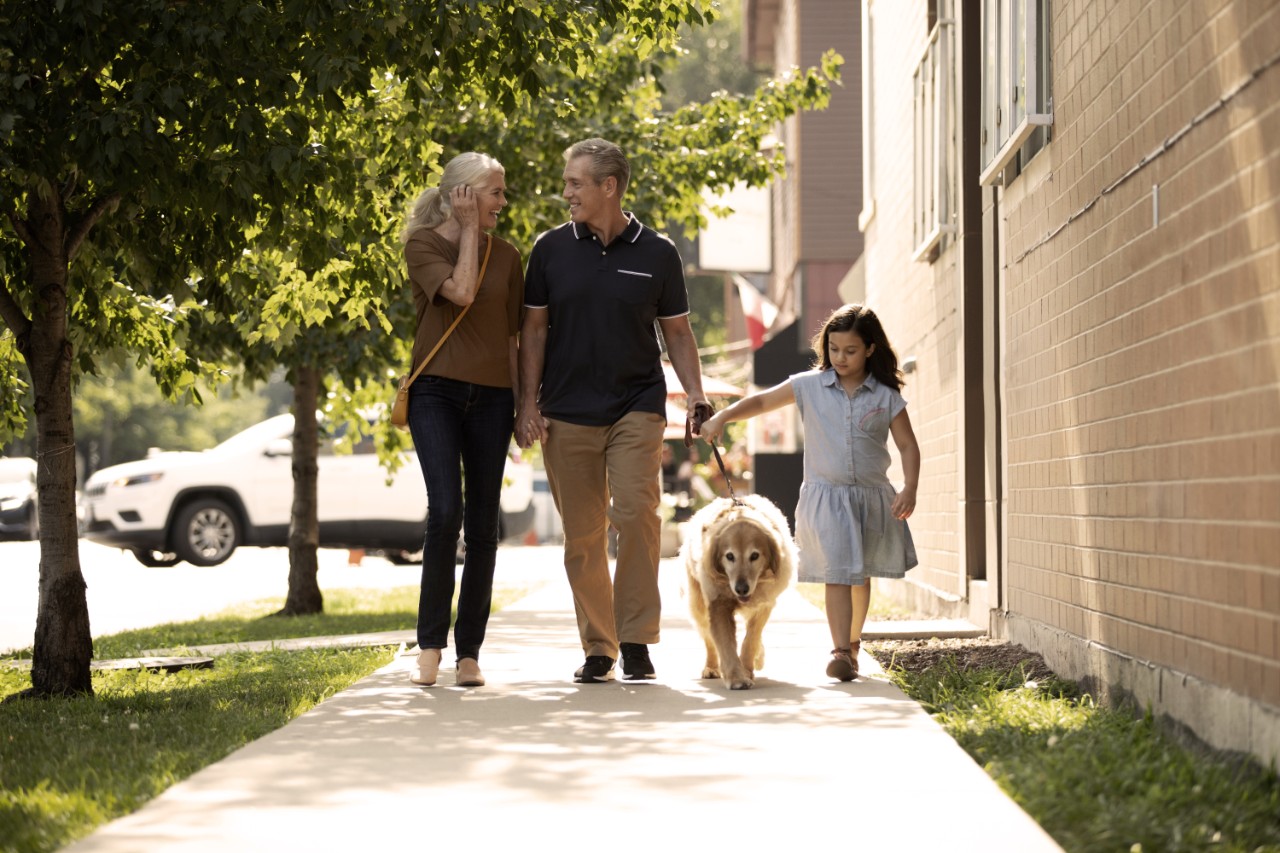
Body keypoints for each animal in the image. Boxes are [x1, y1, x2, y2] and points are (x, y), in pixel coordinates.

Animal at [680, 494, 788, 686]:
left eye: (755, 555)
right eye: (729, 556)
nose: (741, 589)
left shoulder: (764, 604)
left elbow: (751, 639)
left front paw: (747, 667)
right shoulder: (718, 604)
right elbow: (725, 643)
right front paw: (737, 677)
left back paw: (758, 658)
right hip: (698, 605)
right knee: (708, 639)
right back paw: (711, 667)